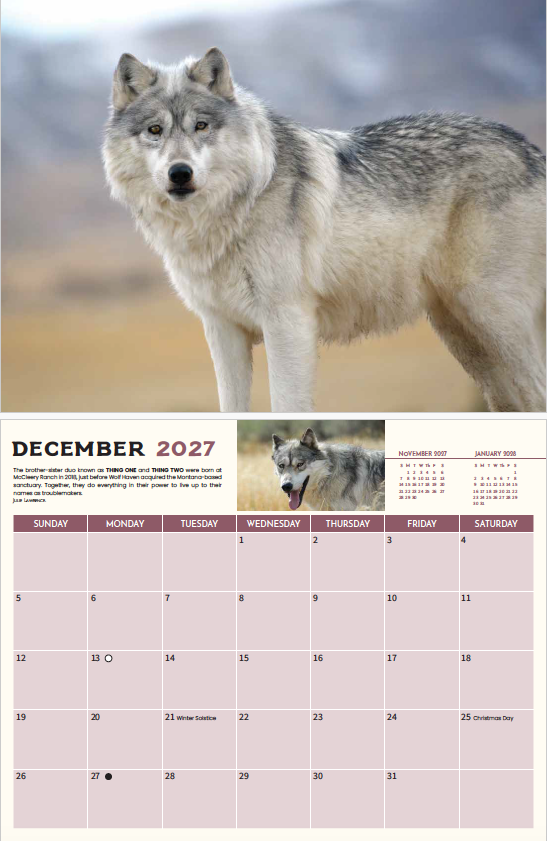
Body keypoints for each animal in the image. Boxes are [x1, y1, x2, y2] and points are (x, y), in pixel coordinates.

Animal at [103, 48, 546, 412]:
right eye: (155, 130)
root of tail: (530, 150)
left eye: (201, 126)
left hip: (491, 316)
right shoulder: (222, 329)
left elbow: (286, 407)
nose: (180, 173)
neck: (225, 216)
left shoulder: (288, 321)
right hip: (463, 335)